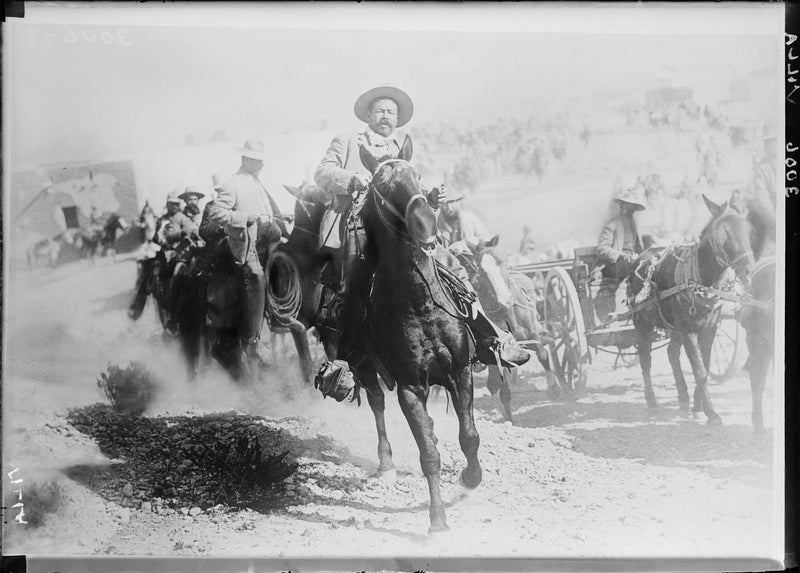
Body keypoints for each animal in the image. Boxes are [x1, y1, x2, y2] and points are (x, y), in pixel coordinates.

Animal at [342, 137, 482, 532]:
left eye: (417, 175)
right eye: (381, 185)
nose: (424, 222)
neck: (420, 304)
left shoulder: (460, 371)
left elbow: (469, 437)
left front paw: (471, 479)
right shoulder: (409, 387)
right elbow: (428, 455)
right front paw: (437, 522)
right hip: (366, 370)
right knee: (376, 404)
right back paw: (386, 465)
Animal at [454, 232, 560, 420]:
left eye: (501, 262)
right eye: (481, 271)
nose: (505, 300)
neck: (508, 313)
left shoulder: (532, 332)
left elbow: (542, 354)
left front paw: (553, 386)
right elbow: (503, 389)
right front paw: (508, 419)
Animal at [628, 194, 752, 422]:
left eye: (749, 230)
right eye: (725, 234)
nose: (748, 270)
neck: (700, 279)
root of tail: (640, 257)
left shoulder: (709, 329)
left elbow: (706, 364)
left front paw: (698, 405)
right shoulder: (688, 331)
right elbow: (699, 369)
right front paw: (711, 412)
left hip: (673, 327)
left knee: (671, 353)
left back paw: (683, 397)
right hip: (643, 323)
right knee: (645, 359)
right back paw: (651, 402)